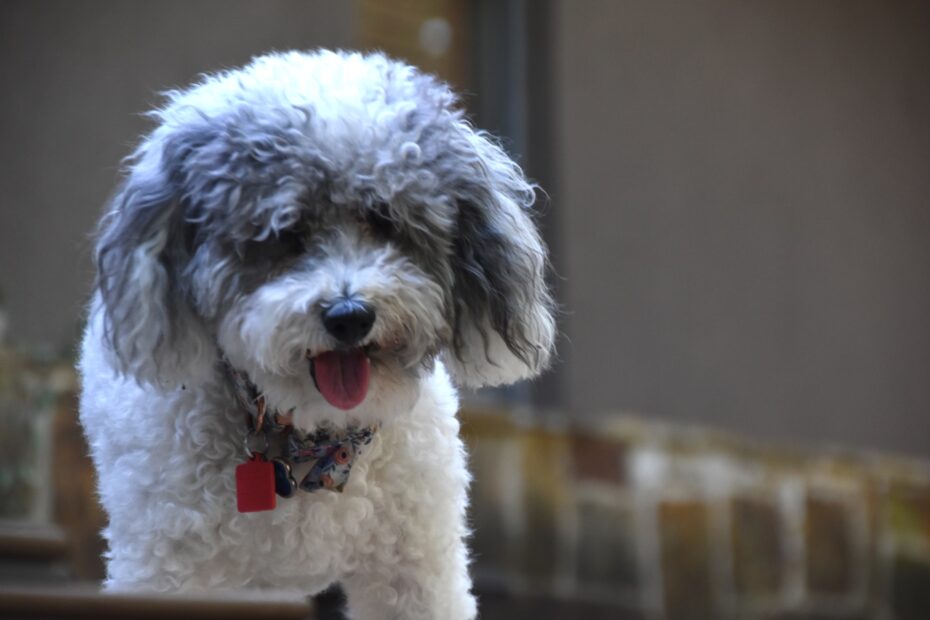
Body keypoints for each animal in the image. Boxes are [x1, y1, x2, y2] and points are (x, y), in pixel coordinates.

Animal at [78, 49, 552, 620]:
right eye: (284, 233)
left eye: (387, 221)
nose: (350, 316)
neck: (311, 442)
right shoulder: (170, 565)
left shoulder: (416, 566)